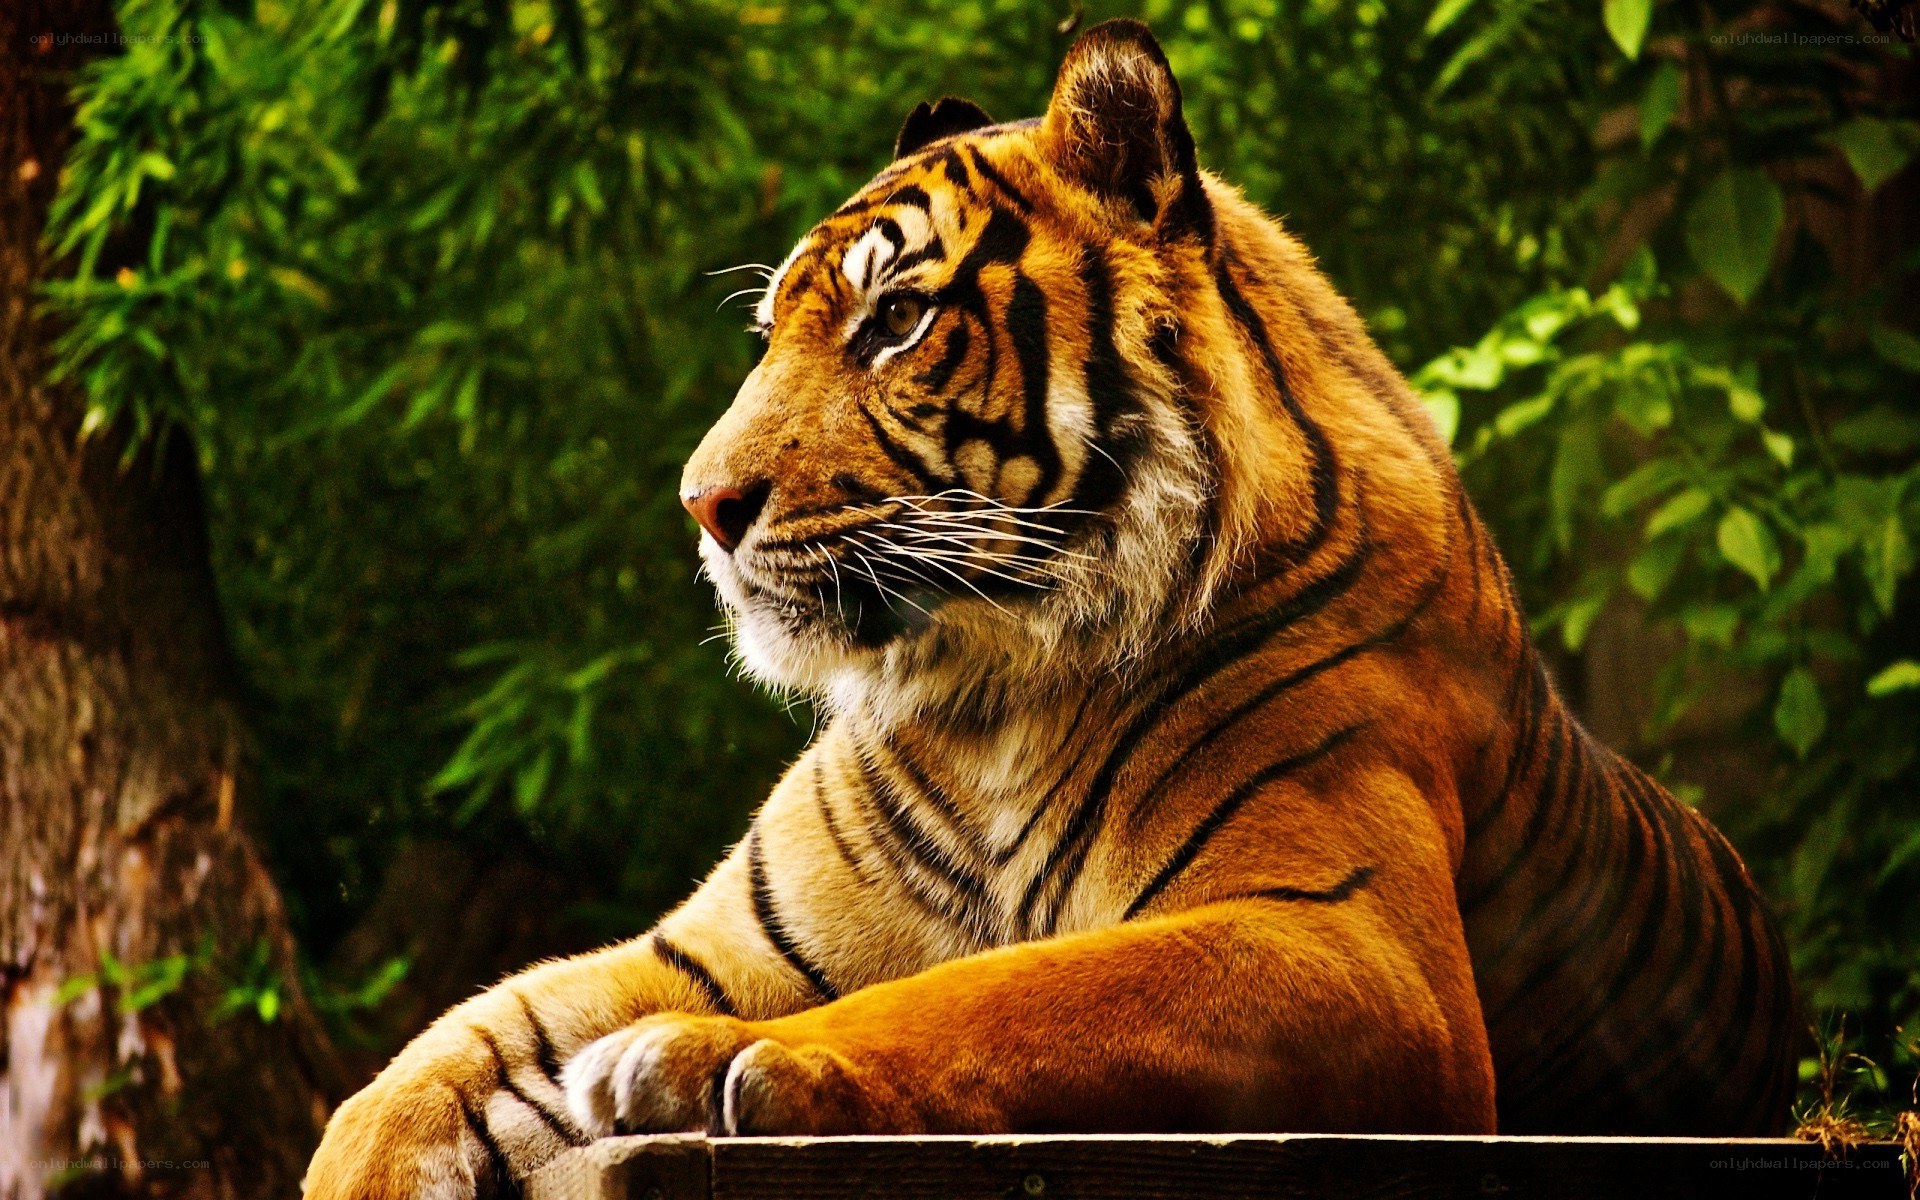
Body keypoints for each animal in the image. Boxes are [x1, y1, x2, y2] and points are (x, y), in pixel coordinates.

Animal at [304, 19, 1800, 1196]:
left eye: (895, 323)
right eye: (774, 333)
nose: (701, 504)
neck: (985, 695)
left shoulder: (1350, 942)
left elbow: (996, 988)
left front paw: (724, 1060)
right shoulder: (714, 942)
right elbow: (435, 1056)